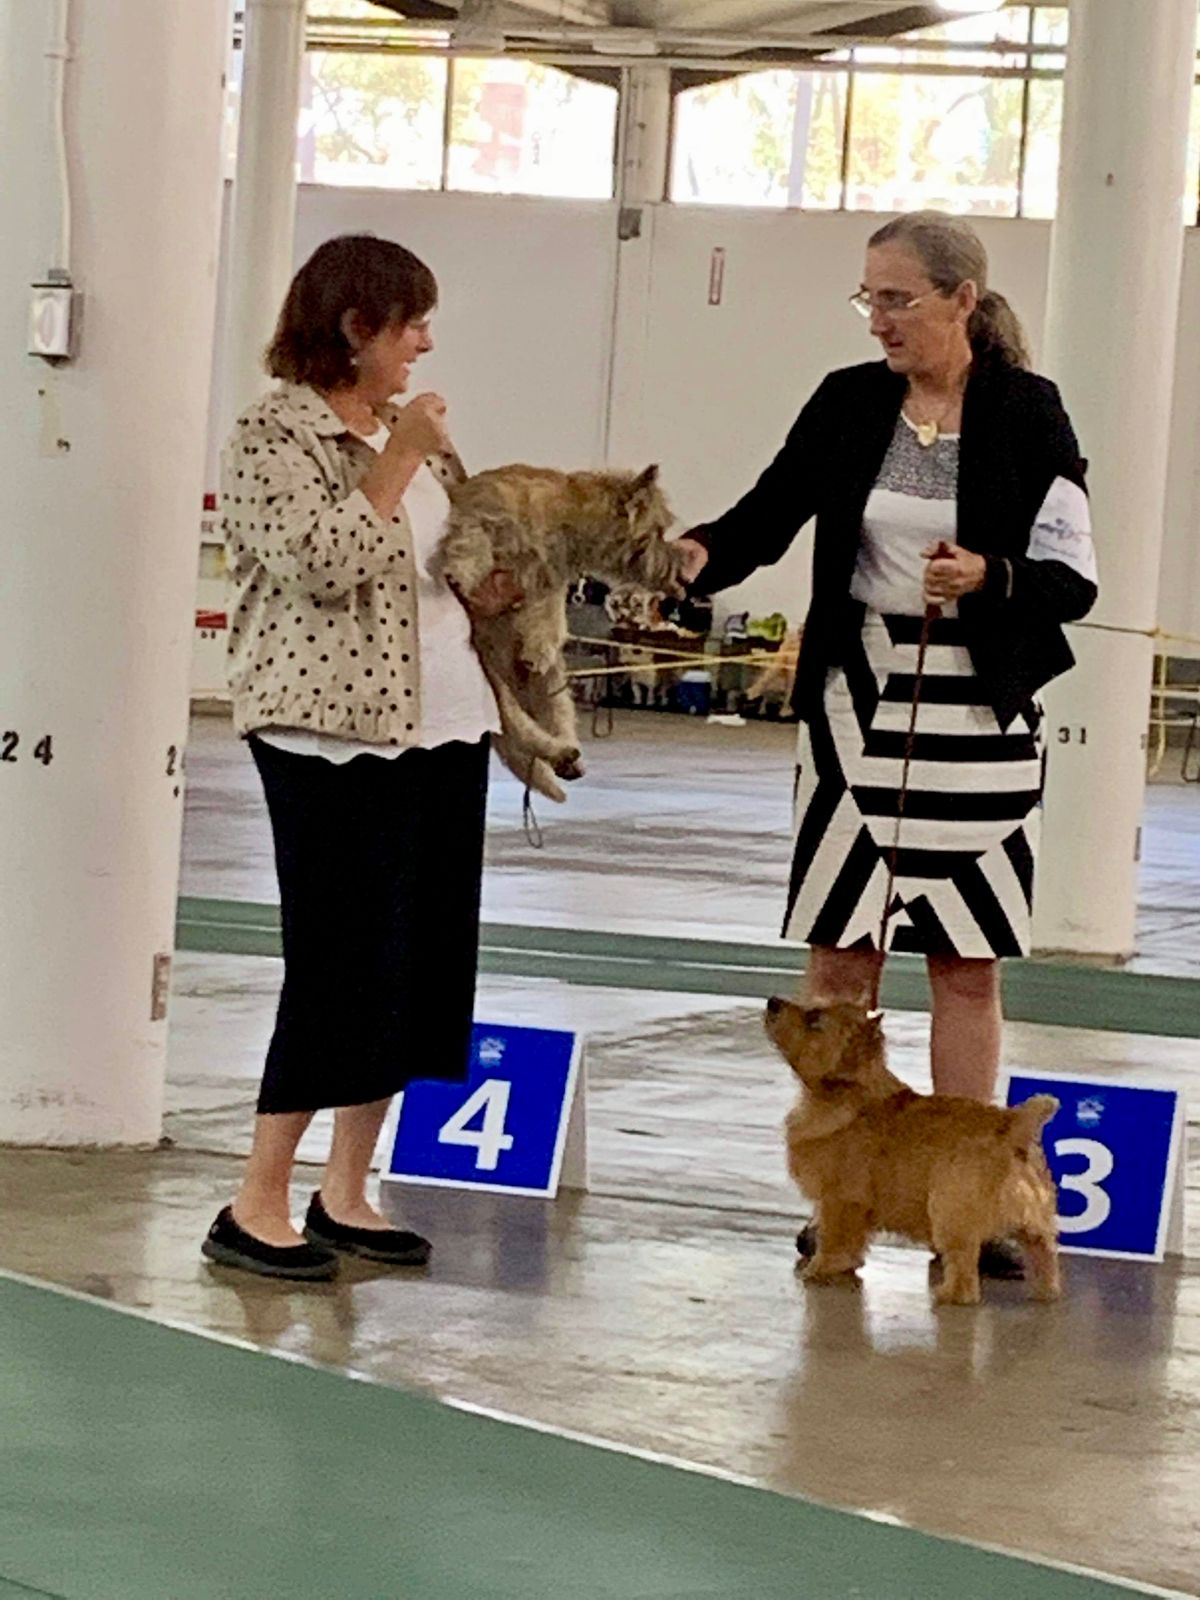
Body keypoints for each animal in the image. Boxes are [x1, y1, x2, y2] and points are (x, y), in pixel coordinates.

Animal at [435, 460, 684, 801]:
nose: (681, 575)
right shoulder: (481, 512)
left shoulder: (548, 584)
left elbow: (549, 614)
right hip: (494, 680)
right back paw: (556, 753)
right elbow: (473, 537)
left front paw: (540, 648)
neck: (563, 519)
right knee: (515, 723)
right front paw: (462, 571)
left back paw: (566, 757)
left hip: (550, 682)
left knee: (557, 716)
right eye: (658, 531)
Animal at [764, 997, 1062, 1306]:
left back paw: (947, 1294)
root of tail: (1012, 1126)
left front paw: (820, 1268)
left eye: (814, 1019)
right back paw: (1044, 1290)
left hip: (950, 1212)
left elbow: (833, 1239)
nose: (772, 1001)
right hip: (1035, 1221)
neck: (847, 1095)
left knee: (965, 1272)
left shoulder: (841, 1199)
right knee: (1044, 1252)